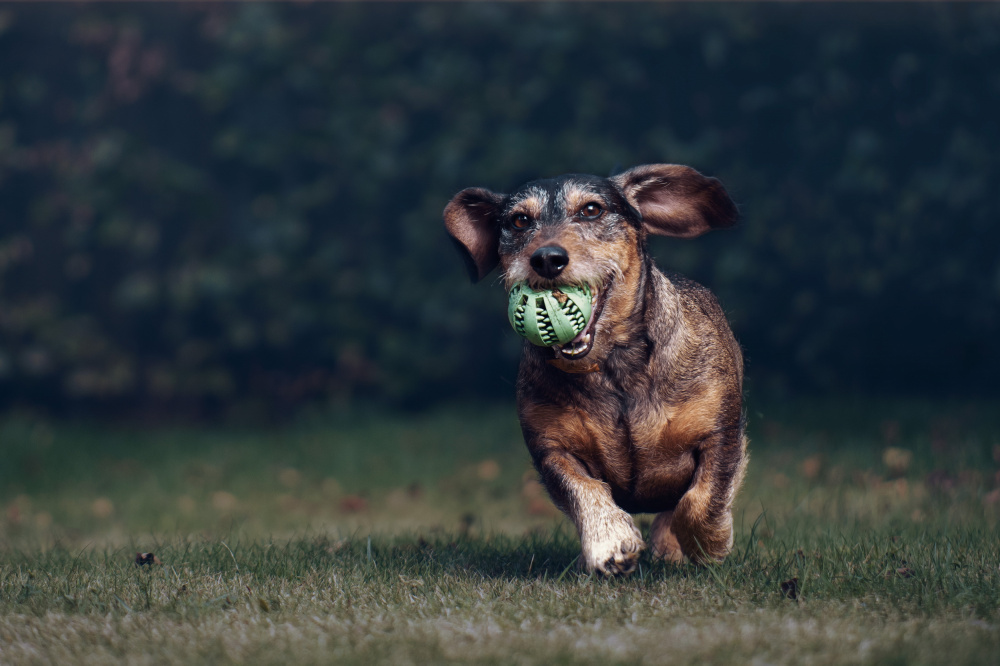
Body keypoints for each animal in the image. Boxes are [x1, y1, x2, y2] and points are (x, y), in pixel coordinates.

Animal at [442, 163, 748, 572]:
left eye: (591, 210)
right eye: (520, 220)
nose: (547, 258)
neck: (613, 369)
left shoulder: (722, 433)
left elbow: (702, 499)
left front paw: (708, 544)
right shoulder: (552, 448)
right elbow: (582, 488)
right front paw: (611, 541)